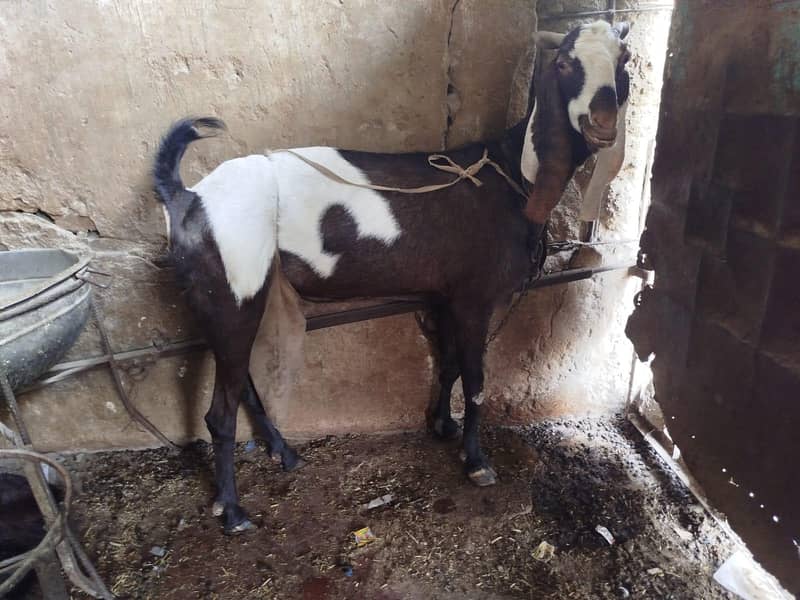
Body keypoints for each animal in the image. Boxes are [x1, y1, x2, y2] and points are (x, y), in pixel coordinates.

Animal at [152, 20, 631, 534]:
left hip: (235, 295)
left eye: (623, 62)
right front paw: (476, 461)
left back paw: (283, 453)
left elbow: (449, 365)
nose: (602, 123)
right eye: (564, 64)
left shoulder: (445, 295)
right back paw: (233, 510)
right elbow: (476, 379)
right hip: (230, 292)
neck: (508, 176)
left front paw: (442, 426)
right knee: (219, 413)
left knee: (241, 379)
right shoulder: (475, 297)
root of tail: (185, 196)